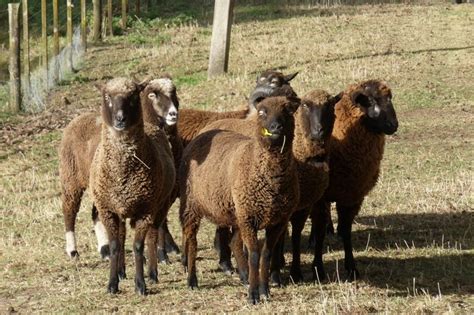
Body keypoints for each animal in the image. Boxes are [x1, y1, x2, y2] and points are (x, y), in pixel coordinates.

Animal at [90, 78, 176, 296]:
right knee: (121, 239)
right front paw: (112, 284)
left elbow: (138, 246)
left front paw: (140, 284)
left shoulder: (145, 211)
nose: (120, 119)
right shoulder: (108, 210)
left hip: (160, 206)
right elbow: (114, 246)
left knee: (153, 235)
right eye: (107, 97)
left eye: (133, 96)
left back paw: (152, 273)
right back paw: (121, 272)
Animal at [180, 97, 298, 306]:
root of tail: (203, 132)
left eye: (288, 111)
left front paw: (265, 290)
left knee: (234, 241)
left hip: (235, 212)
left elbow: (266, 255)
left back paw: (244, 276)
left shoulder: (277, 221)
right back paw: (192, 280)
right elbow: (254, 255)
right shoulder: (249, 219)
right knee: (192, 239)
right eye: (262, 112)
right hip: (191, 205)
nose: (276, 127)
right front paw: (253, 295)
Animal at [310, 79, 398, 282]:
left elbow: (346, 233)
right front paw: (318, 269)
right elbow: (319, 232)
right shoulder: (321, 198)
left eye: (390, 98)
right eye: (370, 100)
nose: (393, 125)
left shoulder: (352, 196)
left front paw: (351, 268)